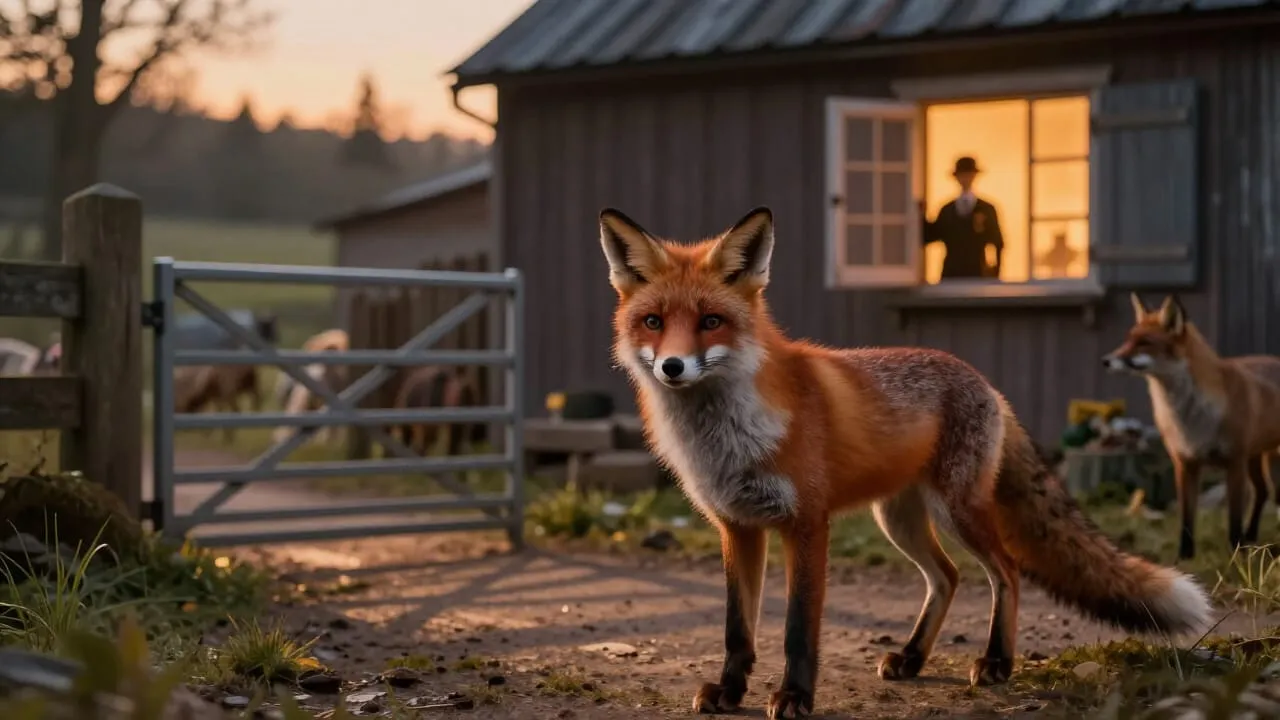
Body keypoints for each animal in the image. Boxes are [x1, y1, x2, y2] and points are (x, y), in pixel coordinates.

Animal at [598, 206, 1213, 719]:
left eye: (710, 322)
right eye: (654, 322)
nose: (673, 367)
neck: (726, 437)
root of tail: (987, 383)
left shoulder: (807, 524)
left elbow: (798, 627)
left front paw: (795, 696)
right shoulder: (738, 527)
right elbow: (737, 629)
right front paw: (729, 691)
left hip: (958, 512)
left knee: (1006, 572)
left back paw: (997, 663)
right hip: (898, 520)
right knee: (948, 576)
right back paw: (913, 658)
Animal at [1102, 293, 1280, 560]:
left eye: (1144, 342)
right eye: (1128, 340)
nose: (1105, 361)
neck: (1192, 417)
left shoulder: (1234, 462)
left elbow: (1234, 517)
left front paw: (1236, 554)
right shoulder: (1185, 462)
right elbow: (1186, 518)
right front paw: (1184, 556)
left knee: (1266, 493)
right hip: (1256, 458)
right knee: (1263, 492)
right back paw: (1251, 536)